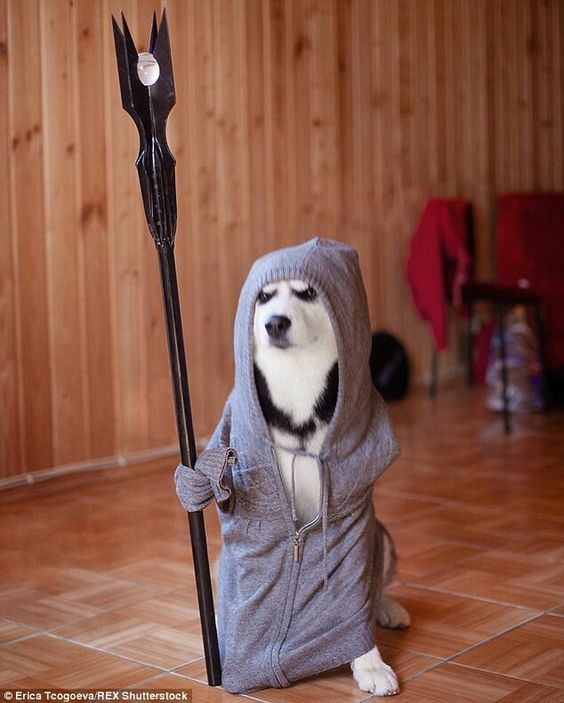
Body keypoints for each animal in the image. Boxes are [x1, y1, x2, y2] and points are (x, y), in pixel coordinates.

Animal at [254, 280, 410, 700]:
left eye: (307, 293)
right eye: (264, 297)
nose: (275, 323)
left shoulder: (352, 517)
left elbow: (354, 601)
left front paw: (370, 663)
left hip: (381, 535)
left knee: (377, 583)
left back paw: (386, 608)